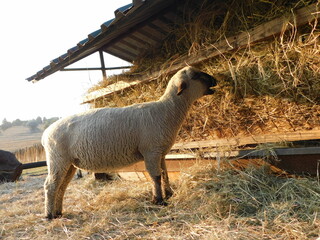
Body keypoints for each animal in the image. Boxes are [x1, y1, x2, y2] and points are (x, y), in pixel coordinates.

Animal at [42, 66, 218, 219]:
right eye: (196, 75)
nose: (215, 79)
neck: (167, 110)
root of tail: (45, 134)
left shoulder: (160, 152)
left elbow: (165, 174)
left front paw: (169, 194)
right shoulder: (151, 151)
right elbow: (155, 176)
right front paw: (159, 200)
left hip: (69, 163)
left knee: (61, 186)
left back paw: (58, 212)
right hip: (58, 159)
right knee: (51, 185)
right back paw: (49, 215)